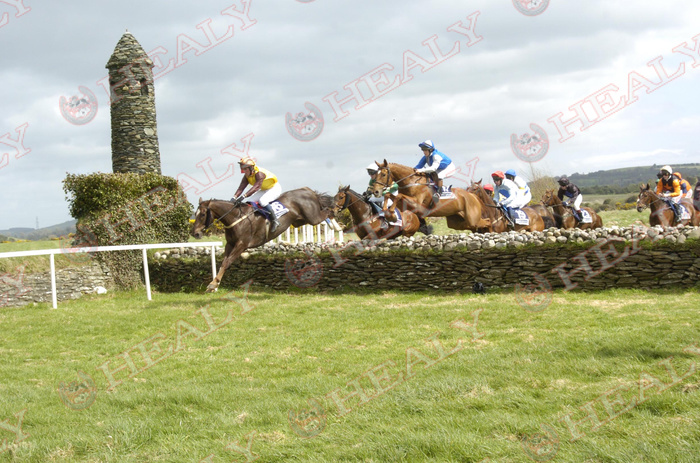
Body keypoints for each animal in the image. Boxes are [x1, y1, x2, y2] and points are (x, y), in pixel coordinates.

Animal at [189, 187, 336, 292]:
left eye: (203, 214)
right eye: (195, 214)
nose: (195, 233)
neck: (236, 217)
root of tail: (308, 190)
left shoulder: (242, 245)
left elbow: (227, 262)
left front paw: (212, 284)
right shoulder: (230, 244)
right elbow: (223, 263)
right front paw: (214, 283)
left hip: (313, 217)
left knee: (328, 212)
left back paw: (334, 223)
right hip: (300, 221)